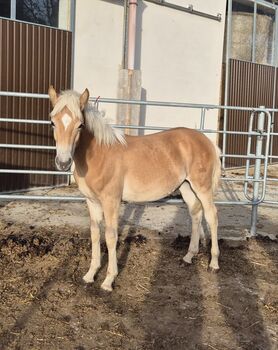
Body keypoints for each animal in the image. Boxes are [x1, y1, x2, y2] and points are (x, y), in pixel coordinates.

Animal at [47, 86, 222, 292]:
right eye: (52, 122)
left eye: (80, 125)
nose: (63, 162)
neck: (99, 154)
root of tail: (207, 141)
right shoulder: (92, 202)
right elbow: (95, 233)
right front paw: (90, 275)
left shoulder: (111, 201)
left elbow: (111, 236)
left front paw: (108, 280)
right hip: (186, 186)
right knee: (196, 213)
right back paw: (188, 257)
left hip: (202, 187)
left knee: (212, 216)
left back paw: (214, 263)